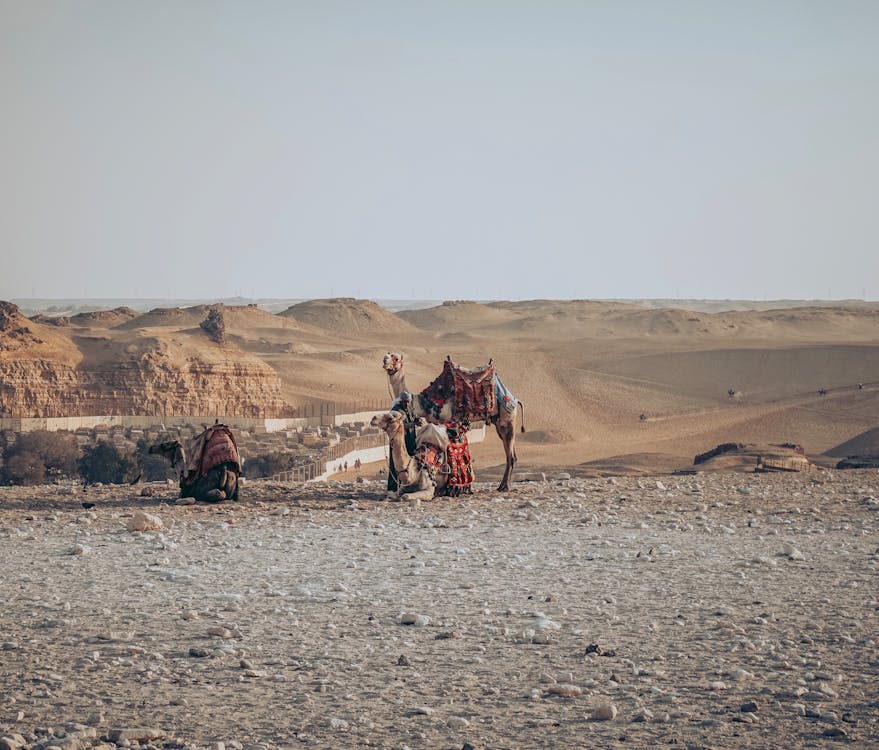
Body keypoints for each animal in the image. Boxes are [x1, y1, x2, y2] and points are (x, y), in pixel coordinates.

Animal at [384, 352, 524, 494]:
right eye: (387, 355)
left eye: (396, 358)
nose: (385, 362)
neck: (424, 403)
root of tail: (514, 399)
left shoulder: (446, 419)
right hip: (500, 424)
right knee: (512, 453)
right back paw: (502, 486)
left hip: (508, 417)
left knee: (510, 456)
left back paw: (504, 487)